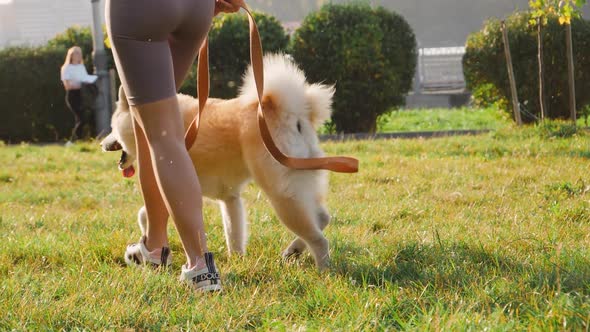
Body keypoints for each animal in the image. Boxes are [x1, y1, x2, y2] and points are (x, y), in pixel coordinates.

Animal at [102, 53, 338, 270]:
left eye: (112, 127)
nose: (103, 144)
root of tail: (293, 113)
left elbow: (144, 214)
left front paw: (141, 253)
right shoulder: (230, 198)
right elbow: (234, 233)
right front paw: (237, 260)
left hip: (282, 195)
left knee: (319, 239)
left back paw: (323, 270)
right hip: (299, 184)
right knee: (322, 218)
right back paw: (294, 250)